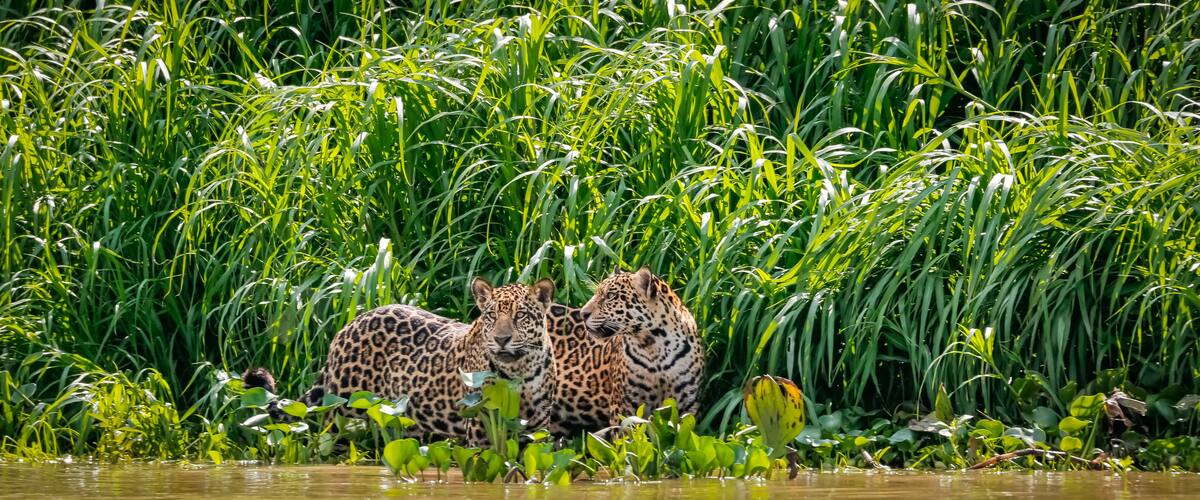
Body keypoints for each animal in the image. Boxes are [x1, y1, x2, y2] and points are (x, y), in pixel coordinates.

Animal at [244, 278, 557, 444]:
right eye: (491, 316)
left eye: (520, 316)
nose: (502, 339)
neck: (519, 370)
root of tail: (349, 325)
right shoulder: (481, 423)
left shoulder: (538, 425)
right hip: (342, 410)